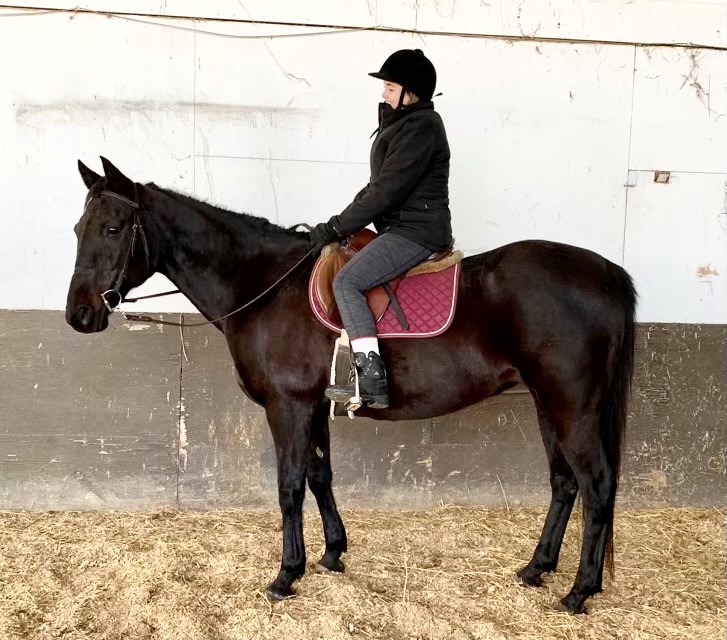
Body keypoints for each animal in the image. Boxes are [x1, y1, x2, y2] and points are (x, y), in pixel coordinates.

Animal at [66, 157, 636, 614]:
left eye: (113, 228)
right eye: (78, 228)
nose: (79, 315)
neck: (264, 283)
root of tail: (606, 272)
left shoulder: (288, 407)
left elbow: (290, 486)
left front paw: (286, 575)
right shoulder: (315, 407)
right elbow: (321, 477)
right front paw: (332, 553)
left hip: (572, 406)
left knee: (596, 484)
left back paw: (580, 591)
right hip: (547, 404)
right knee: (564, 483)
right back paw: (537, 569)